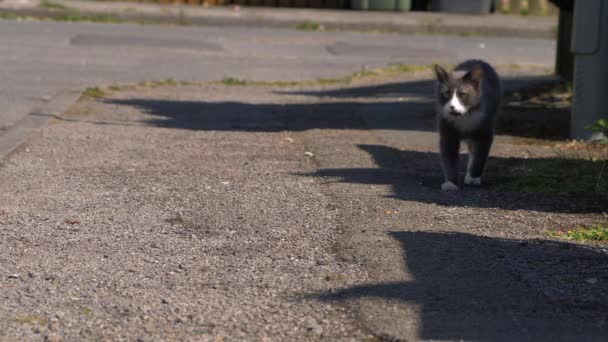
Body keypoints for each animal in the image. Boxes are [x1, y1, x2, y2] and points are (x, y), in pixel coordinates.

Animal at [434, 59, 502, 191]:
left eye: (462, 94)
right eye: (446, 93)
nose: (452, 106)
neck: (463, 117)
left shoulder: (484, 130)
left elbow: (480, 155)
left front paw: (474, 177)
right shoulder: (447, 129)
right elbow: (449, 154)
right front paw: (451, 183)